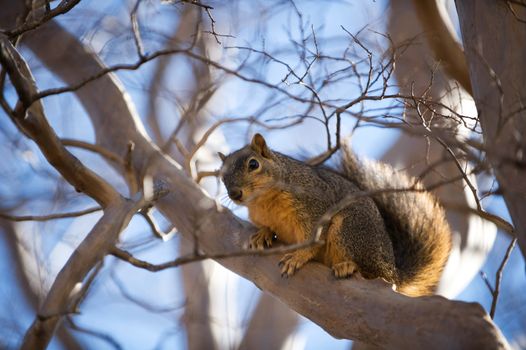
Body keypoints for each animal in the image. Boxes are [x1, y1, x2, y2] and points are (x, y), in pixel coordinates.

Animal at [219, 133, 454, 296]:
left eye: (253, 164)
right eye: (221, 176)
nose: (235, 194)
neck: (264, 201)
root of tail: (393, 269)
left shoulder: (315, 206)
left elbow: (313, 240)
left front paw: (297, 257)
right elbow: (266, 227)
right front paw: (263, 234)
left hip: (351, 229)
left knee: (372, 273)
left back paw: (348, 266)